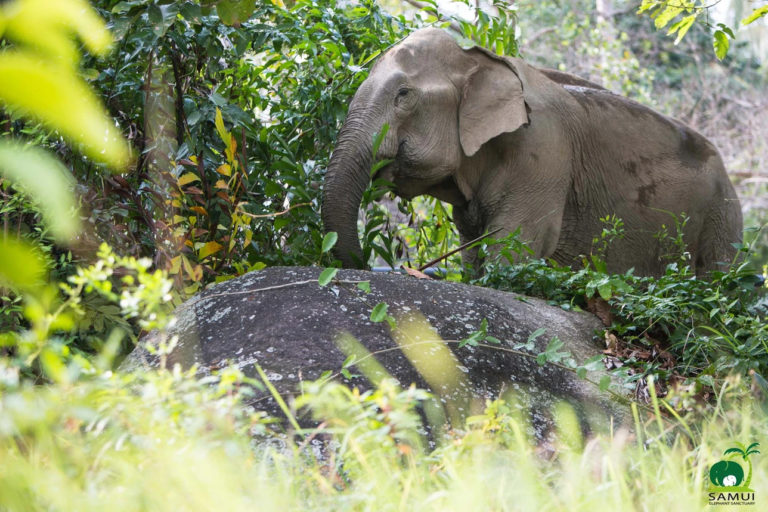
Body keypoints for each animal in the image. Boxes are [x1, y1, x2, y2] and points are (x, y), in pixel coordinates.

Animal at [321, 28, 743, 276]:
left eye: (404, 95)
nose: (368, 265)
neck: (479, 57)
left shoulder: (543, 153)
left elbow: (514, 253)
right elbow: (474, 253)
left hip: (723, 218)